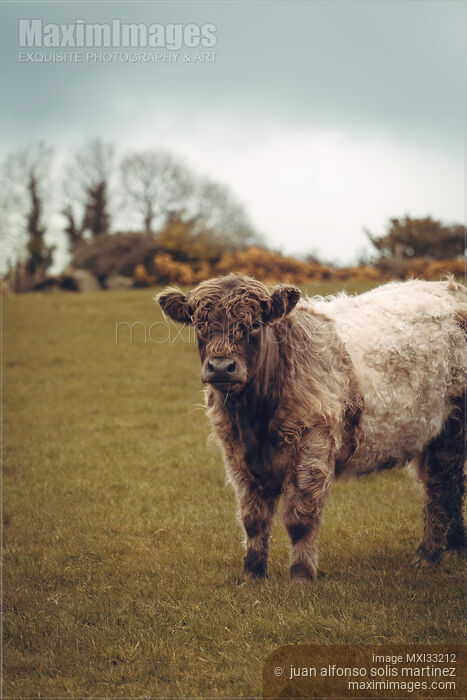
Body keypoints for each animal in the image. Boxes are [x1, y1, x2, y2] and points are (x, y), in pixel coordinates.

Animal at [157, 274, 466, 582]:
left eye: (255, 323)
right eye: (199, 324)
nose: (221, 367)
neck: (254, 419)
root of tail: (449, 286)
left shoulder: (312, 447)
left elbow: (300, 518)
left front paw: (301, 575)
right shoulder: (237, 456)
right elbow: (253, 519)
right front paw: (253, 573)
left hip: (452, 429)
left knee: (442, 487)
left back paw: (429, 555)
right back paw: (453, 549)